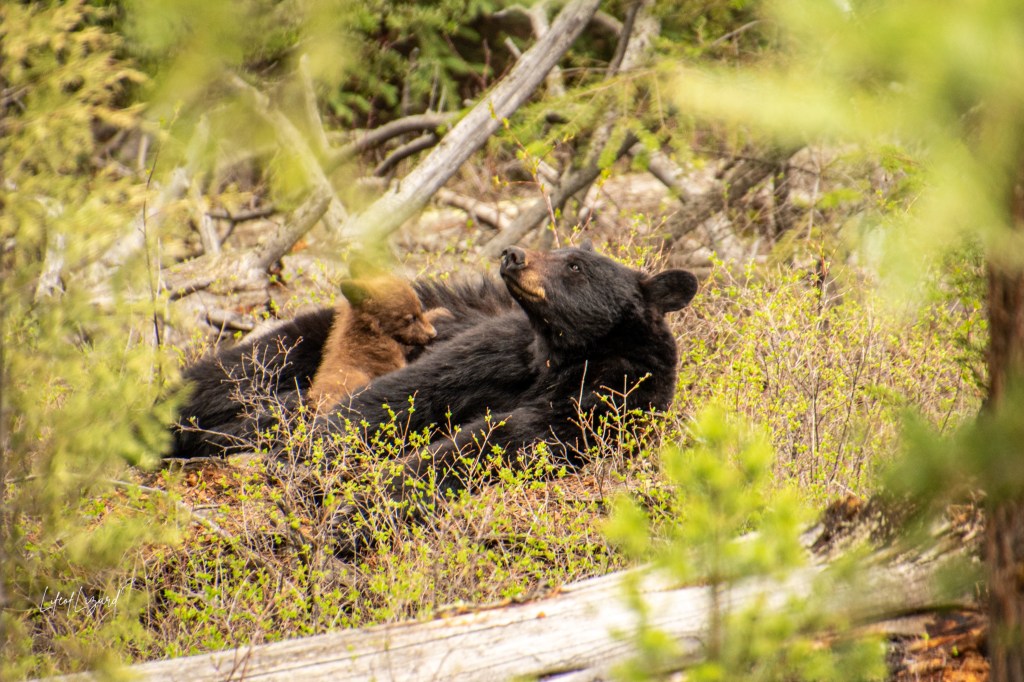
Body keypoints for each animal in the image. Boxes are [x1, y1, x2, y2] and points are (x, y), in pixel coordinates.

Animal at [314, 244, 698, 515]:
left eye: (575, 266)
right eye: (557, 250)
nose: (513, 254)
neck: (559, 354)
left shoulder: (608, 396)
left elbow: (503, 439)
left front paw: (367, 502)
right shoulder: (498, 352)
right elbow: (403, 394)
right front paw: (312, 456)